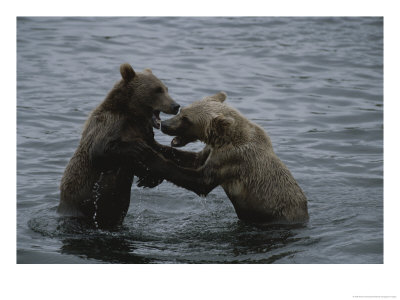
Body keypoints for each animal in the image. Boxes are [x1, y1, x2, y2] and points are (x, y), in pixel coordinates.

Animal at [57, 63, 200, 227]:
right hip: (79, 205)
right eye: (157, 90)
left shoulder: (145, 131)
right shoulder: (109, 124)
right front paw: (139, 150)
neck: (132, 116)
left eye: (166, 88)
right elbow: (101, 151)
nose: (175, 106)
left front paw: (151, 177)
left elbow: (158, 150)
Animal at [136, 91, 308, 223]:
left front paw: (147, 155)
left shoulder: (231, 159)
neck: (223, 139)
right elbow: (192, 159)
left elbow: (199, 181)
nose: (164, 125)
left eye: (187, 119)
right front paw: (150, 142)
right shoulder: (212, 151)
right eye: (182, 111)